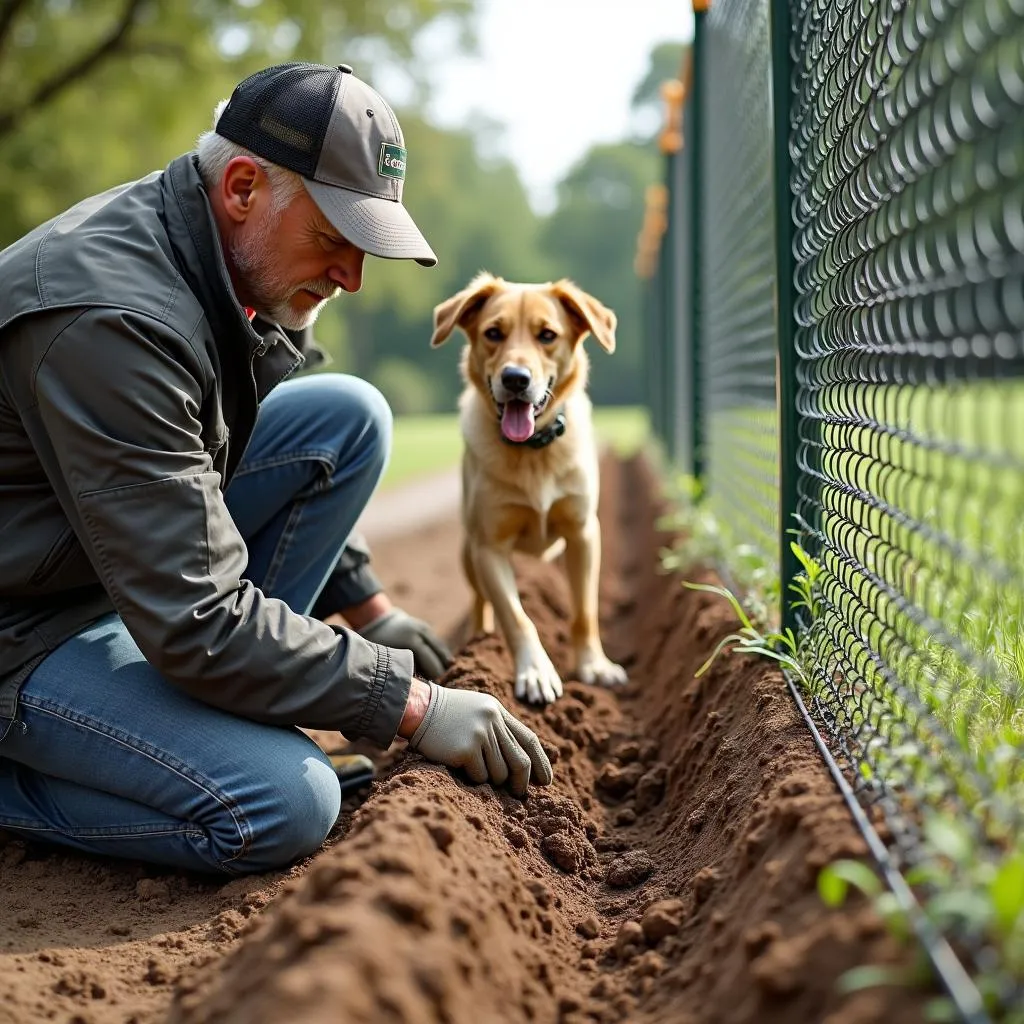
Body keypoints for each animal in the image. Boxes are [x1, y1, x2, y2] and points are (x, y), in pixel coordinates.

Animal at [428, 272, 626, 704]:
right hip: (468, 554)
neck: (533, 452)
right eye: (493, 333)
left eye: (547, 335)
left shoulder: (584, 533)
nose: (515, 379)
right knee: (481, 603)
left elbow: (584, 609)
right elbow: (517, 616)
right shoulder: (489, 547)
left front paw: (593, 666)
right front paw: (536, 672)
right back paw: (478, 640)